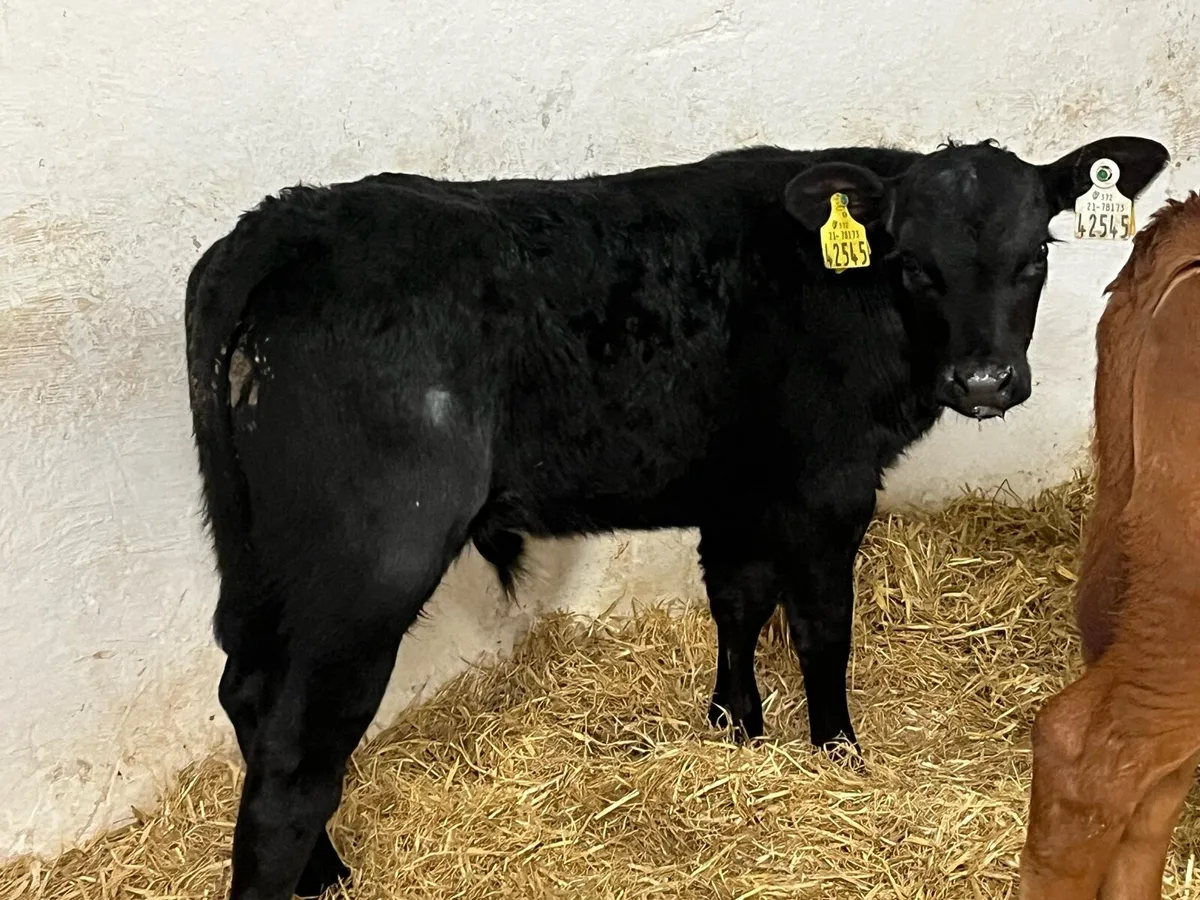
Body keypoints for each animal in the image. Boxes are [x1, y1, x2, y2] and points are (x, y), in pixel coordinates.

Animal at [185, 136, 1169, 900]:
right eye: (915, 267)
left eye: (1035, 257)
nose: (986, 381)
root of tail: (292, 220)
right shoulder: (829, 487)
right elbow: (821, 625)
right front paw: (837, 751)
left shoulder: (743, 489)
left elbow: (737, 598)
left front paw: (736, 723)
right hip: (370, 563)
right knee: (294, 757)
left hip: (256, 551)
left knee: (249, 691)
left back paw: (326, 870)